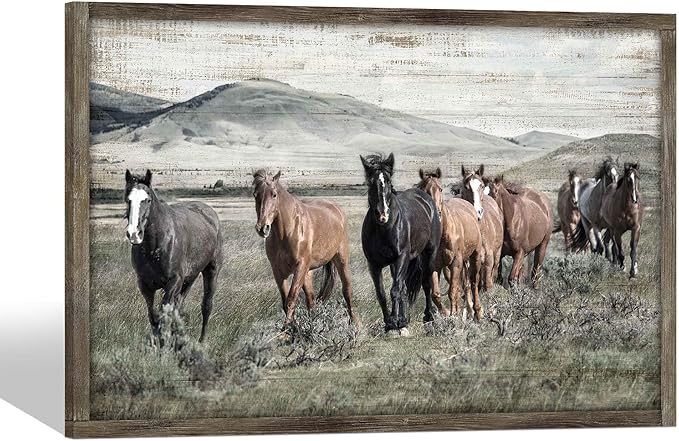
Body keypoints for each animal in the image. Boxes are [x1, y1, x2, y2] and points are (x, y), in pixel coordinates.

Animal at [124, 169, 223, 343]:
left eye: (147, 200)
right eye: (127, 199)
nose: (134, 234)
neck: (155, 247)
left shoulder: (173, 282)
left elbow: (164, 315)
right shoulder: (145, 285)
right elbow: (154, 317)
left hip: (211, 270)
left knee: (206, 306)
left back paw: (201, 341)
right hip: (189, 279)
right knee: (180, 306)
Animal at [252, 170, 358, 327]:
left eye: (274, 194)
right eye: (255, 194)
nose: (262, 228)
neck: (287, 231)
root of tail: (337, 209)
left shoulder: (300, 267)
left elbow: (291, 300)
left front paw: (285, 330)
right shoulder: (278, 271)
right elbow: (285, 302)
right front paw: (291, 329)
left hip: (341, 260)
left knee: (347, 291)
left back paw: (355, 325)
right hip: (308, 273)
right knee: (311, 300)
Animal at [360, 153, 441, 334]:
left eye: (388, 181)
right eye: (370, 182)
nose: (382, 214)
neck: (384, 228)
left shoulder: (401, 258)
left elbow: (395, 290)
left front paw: (397, 323)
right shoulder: (373, 264)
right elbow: (382, 293)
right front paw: (390, 322)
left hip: (429, 254)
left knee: (426, 283)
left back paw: (428, 316)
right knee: (404, 287)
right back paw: (404, 319)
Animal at [417, 168, 483, 320]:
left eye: (440, 189)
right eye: (423, 190)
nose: (436, 213)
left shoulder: (456, 263)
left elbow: (453, 291)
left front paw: (454, 315)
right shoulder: (434, 266)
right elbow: (436, 294)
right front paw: (448, 313)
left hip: (474, 256)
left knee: (473, 282)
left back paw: (477, 311)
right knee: (465, 285)